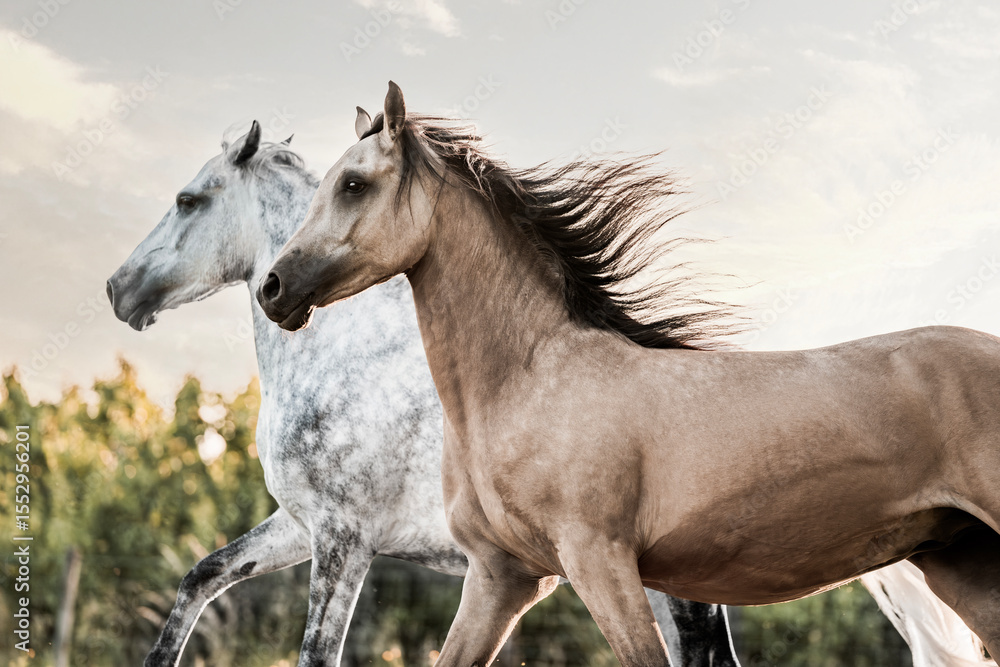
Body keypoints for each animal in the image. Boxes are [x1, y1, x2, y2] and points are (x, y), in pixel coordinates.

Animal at [105, 121, 744, 666]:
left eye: (189, 200)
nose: (118, 288)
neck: (342, 352)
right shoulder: (299, 523)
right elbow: (201, 577)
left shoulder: (344, 539)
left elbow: (316, 652)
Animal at [256, 81, 1000, 667]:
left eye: (353, 184)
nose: (273, 288)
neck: (527, 382)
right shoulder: (500, 578)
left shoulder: (600, 561)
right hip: (963, 564)